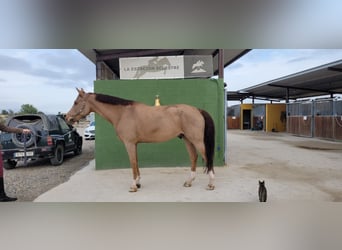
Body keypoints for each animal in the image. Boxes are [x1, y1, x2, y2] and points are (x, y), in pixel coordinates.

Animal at [65, 89, 215, 192]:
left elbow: (132, 163)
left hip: (197, 141)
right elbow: (136, 162)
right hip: (187, 140)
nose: (67, 118)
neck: (123, 114)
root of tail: (197, 110)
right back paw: (189, 182)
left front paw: (133, 186)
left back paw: (211, 184)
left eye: (76, 102)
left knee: (207, 157)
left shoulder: (129, 144)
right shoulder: (135, 144)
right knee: (194, 157)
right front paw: (138, 183)